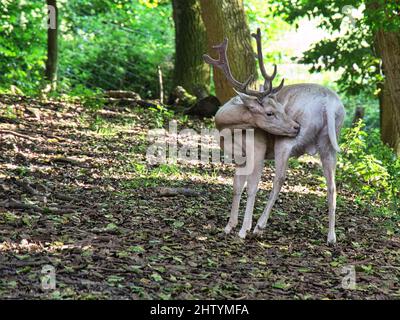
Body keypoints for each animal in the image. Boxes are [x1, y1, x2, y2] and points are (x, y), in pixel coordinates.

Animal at [205, 28, 346, 244]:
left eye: (280, 108)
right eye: (270, 112)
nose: (296, 126)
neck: (228, 128)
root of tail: (329, 104)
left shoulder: (258, 149)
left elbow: (252, 187)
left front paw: (243, 229)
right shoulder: (239, 157)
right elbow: (237, 186)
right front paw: (229, 226)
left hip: (285, 143)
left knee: (279, 179)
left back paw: (259, 226)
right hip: (329, 144)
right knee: (332, 186)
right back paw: (331, 237)